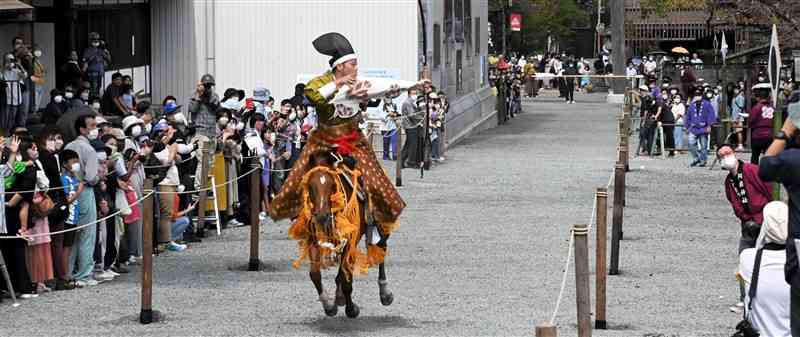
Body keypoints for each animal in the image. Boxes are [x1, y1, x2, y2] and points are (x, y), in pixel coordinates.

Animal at [300, 153, 394, 318]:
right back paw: (339, 297)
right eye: (310, 186)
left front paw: (351, 309)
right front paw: (329, 305)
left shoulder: (350, 240)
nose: (322, 216)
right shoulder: (313, 239)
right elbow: (315, 274)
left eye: (332, 185)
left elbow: (346, 278)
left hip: (380, 227)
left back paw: (385, 293)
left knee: (381, 250)